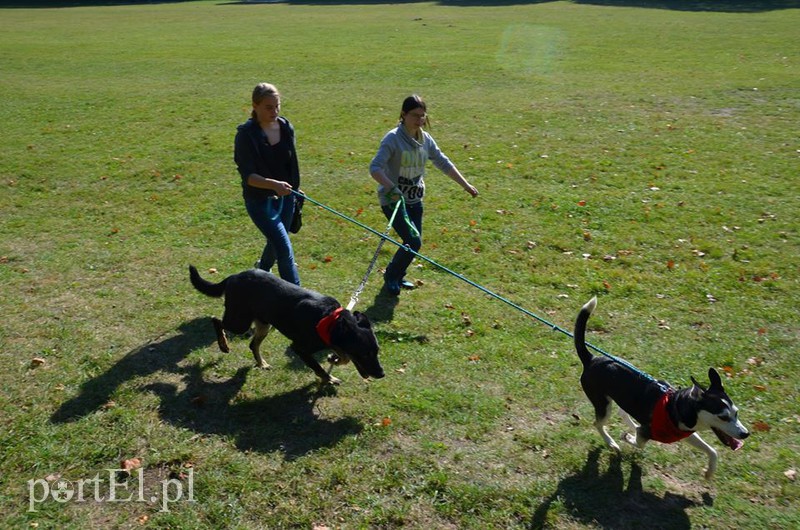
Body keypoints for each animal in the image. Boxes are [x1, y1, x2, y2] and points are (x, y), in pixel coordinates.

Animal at [191, 264, 384, 384]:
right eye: (365, 354)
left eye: (376, 352)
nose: (382, 374)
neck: (330, 321)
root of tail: (233, 276)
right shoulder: (299, 348)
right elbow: (319, 367)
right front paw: (329, 379)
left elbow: (343, 357)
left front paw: (333, 359)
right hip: (240, 322)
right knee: (216, 320)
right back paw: (223, 345)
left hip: (264, 324)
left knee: (253, 345)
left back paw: (262, 363)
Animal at [576, 294, 752, 476]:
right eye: (723, 417)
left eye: (736, 413)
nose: (745, 434)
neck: (675, 406)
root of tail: (591, 359)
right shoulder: (650, 432)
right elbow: (639, 442)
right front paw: (627, 438)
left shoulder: (685, 434)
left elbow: (712, 451)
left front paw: (709, 472)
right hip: (603, 405)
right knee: (598, 423)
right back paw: (612, 443)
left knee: (622, 412)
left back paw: (630, 426)